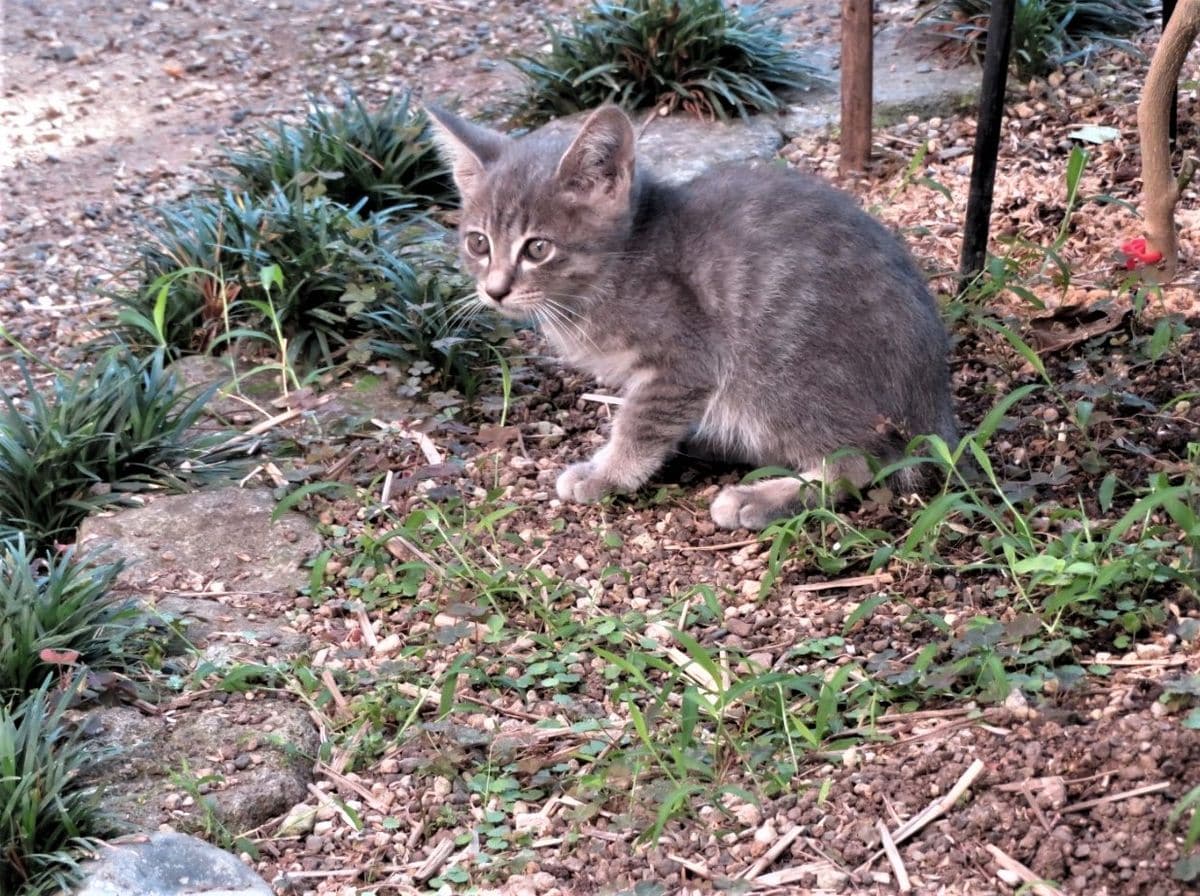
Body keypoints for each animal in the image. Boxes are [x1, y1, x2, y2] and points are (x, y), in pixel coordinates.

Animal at [427, 103, 950, 532]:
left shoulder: (686, 360)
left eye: (538, 248)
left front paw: (608, 473)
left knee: (857, 462)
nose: (495, 290)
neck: (618, 264)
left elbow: (639, 422)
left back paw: (759, 498)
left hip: (783, 376)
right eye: (478, 243)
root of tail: (934, 402)